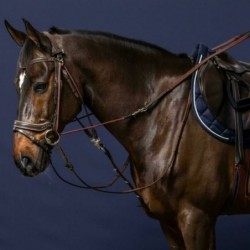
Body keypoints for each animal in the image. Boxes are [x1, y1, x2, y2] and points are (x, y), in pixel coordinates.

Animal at [4, 20, 250, 250]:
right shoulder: (170, 223)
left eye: (40, 86)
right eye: (17, 85)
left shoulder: (197, 219)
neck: (168, 114)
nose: (23, 158)